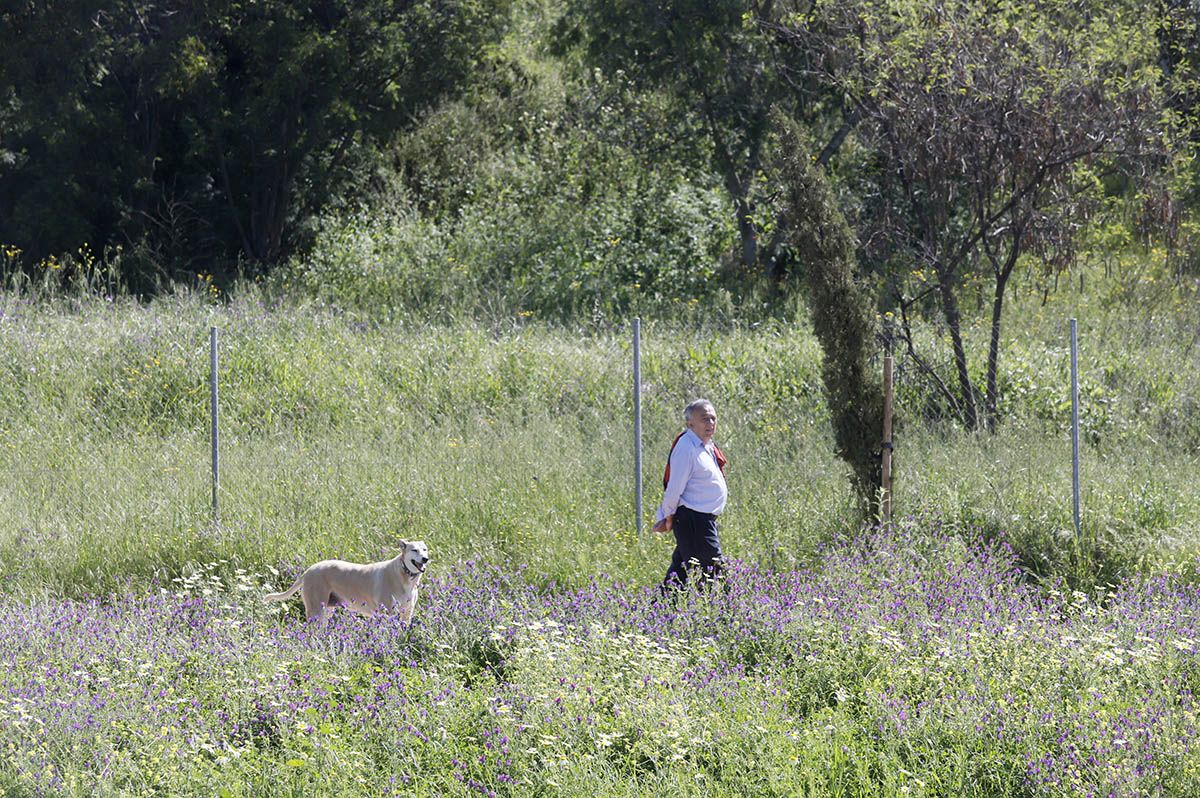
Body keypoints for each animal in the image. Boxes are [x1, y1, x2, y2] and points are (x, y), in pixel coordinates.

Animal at [264, 542, 432, 624]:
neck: (405, 576)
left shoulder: (407, 612)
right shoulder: (388, 613)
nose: (425, 559)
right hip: (316, 609)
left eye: (424, 549)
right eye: (414, 550)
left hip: (326, 609)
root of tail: (308, 570)